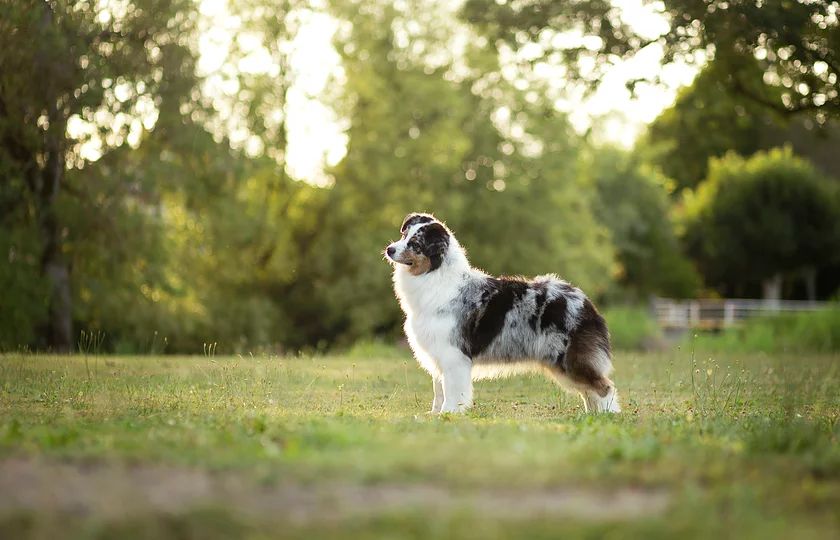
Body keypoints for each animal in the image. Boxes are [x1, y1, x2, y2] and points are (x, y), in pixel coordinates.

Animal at [384, 213, 620, 416]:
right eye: (404, 235)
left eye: (415, 244)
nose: (389, 249)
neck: (435, 277)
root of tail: (587, 303)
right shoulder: (438, 352)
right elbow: (438, 390)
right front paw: (434, 414)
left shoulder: (453, 354)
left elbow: (452, 389)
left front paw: (449, 413)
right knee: (589, 391)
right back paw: (591, 415)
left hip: (569, 359)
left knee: (604, 387)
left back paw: (608, 416)